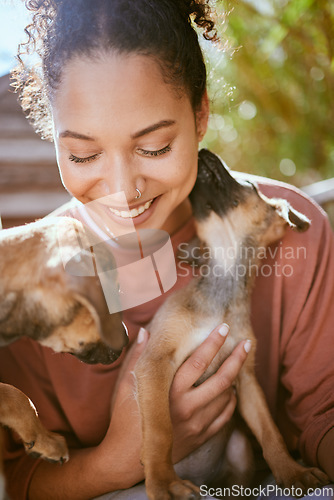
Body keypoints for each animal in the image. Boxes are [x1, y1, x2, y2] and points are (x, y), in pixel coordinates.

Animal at [135, 150, 328, 500]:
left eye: (249, 184)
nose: (203, 151)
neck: (225, 285)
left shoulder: (247, 379)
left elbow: (270, 432)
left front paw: (293, 472)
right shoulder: (155, 361)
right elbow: (159, 428)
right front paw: (163, 481)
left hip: (240, 451)